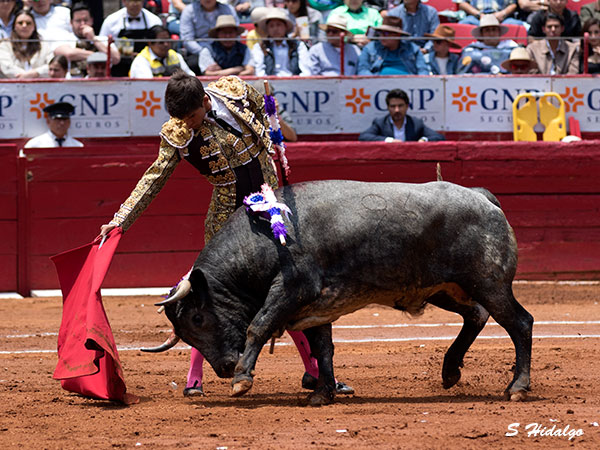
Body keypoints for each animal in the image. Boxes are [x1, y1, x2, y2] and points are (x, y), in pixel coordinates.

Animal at [157, 179, 532, 404]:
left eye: (198, 317)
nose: (224, 367)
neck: (265, 237)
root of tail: (481, 196)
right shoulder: (314, 307)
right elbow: (323, 348)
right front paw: (322, 393)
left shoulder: (292, 289)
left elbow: (258, 326)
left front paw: (242, 379)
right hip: (447, 289)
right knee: (477, 315)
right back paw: (450, 371)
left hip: (489, 283)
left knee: (520, 323)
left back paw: (517, 387)